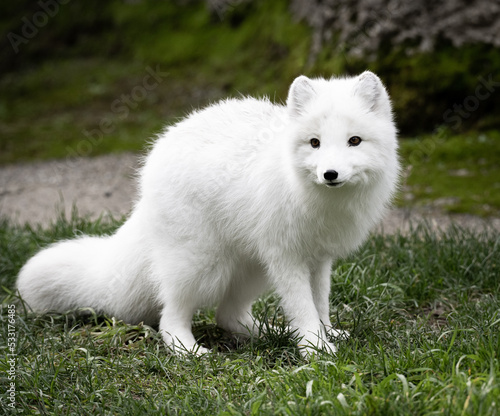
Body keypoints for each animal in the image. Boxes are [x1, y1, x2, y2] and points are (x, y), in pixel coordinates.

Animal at [17, 70, 398, 354]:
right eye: (315, 143)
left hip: (249, 267)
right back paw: (189, 351)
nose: (330, 174)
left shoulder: (318, 259)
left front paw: (325, 335)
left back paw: (274, 333)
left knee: (227, 317)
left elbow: (320, 304)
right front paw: (315, 349)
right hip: (201, 264)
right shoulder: (286, 258)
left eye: (354, 141)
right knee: (170, 317)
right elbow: (304, 308)